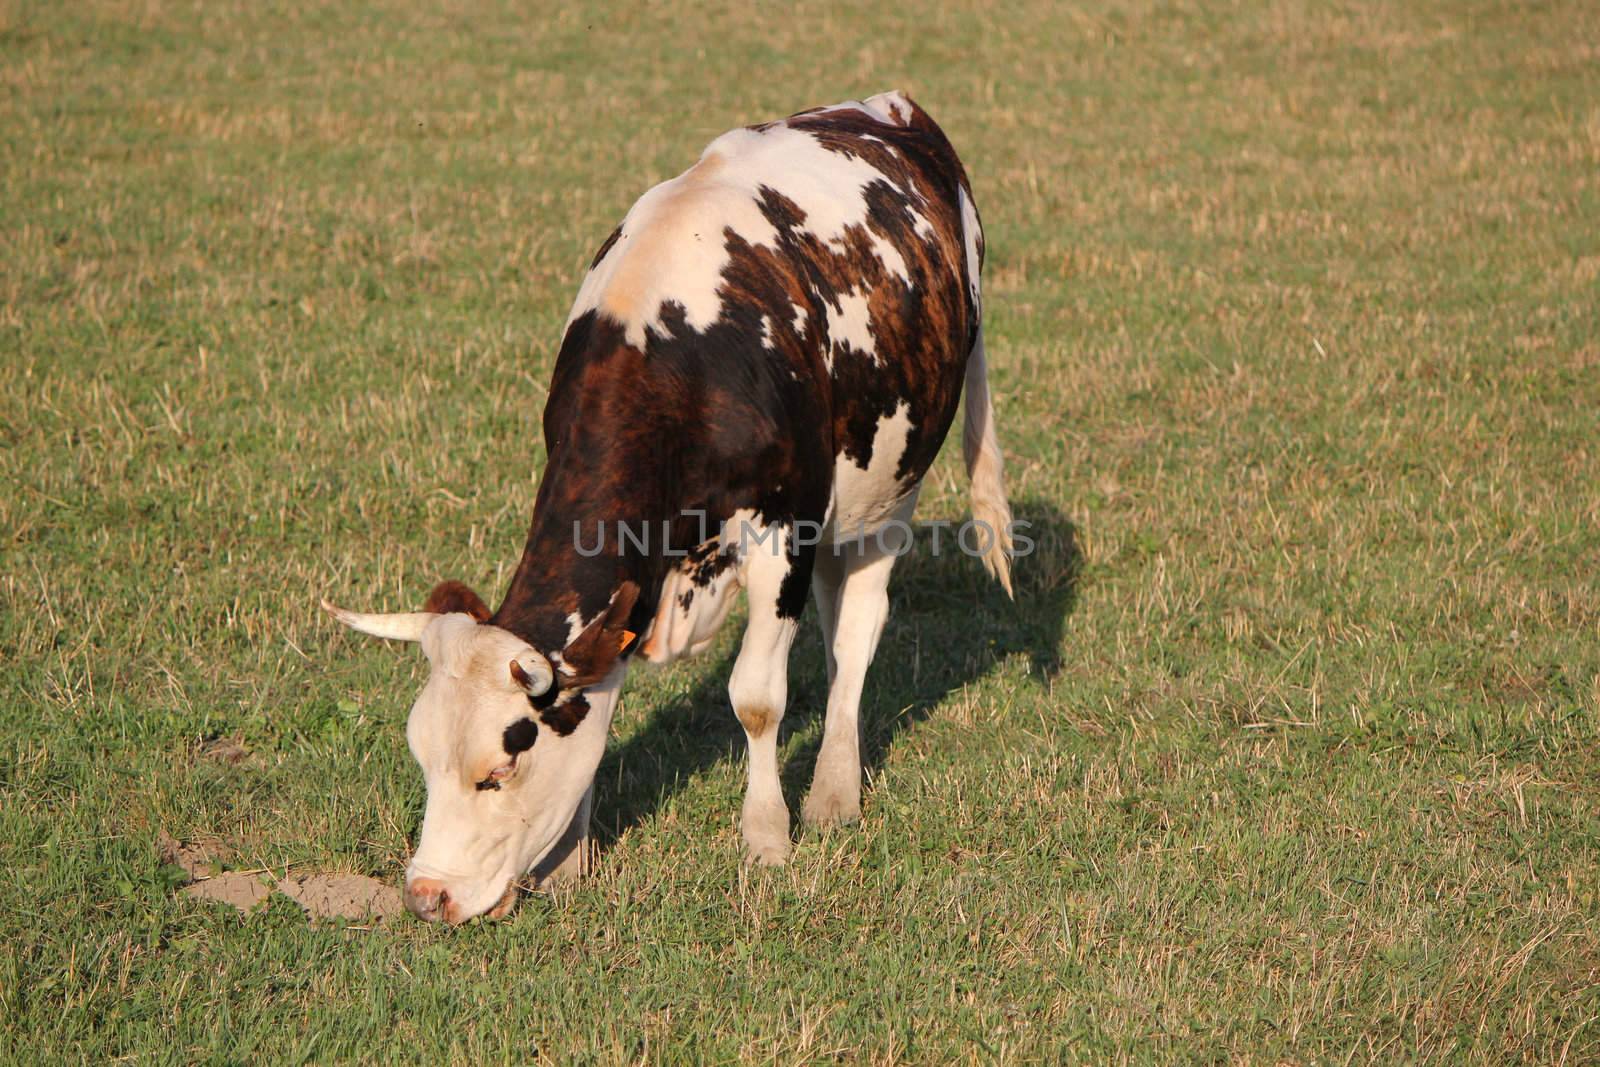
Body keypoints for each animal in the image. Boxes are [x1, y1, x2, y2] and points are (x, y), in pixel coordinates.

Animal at [323, 93, 1011, 927]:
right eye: (423, 756)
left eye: (500, 767)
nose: (427, 896)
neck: (679, 347)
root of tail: (891, 107)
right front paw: (569, 860)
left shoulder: (784, 529)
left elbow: (756, 697)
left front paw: (767, 837)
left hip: (895, 481)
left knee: (858, 630)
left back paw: (833, 794)